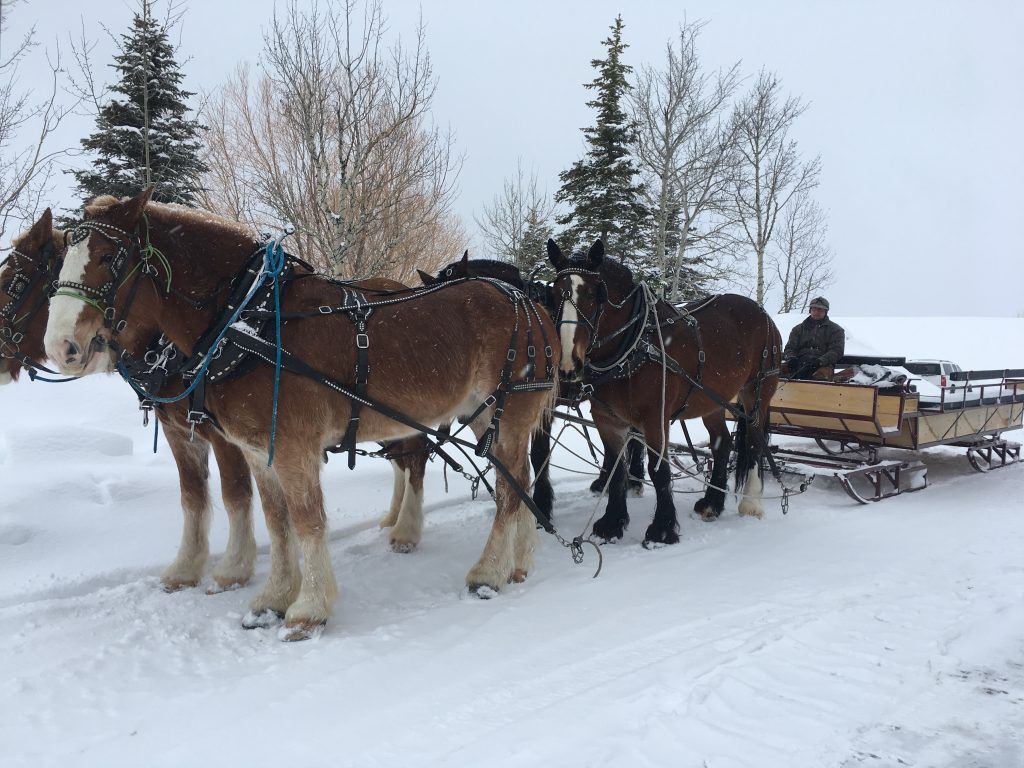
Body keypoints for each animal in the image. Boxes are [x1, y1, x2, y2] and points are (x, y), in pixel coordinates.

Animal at [44, 189, 561, 638]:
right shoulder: (259, 450)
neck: (249, 321)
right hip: (486, 415)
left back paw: (488, 573)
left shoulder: (293, 447)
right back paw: (519, 562)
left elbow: (307, 520)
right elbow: (277, 521)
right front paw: (272, 598)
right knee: (518, 477)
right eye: (61, 258)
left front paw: (307, 609)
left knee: (509, 489)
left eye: (109, 258)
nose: (60, 346)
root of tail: (530, 303)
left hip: (508, 412)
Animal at [548, 240, 778, 548]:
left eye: (595, 294)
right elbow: (617, 469)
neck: (633, 344)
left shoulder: (654, 418)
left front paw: (662, 530)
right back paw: (712, 504)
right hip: (712, 401)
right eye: (553, 294)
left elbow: (659, 471)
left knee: (753, 442)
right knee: (722, 443)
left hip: (756, 393)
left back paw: (751, 503)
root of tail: (761, 312)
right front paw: (611, 524)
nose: (568, 363)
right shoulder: (606, 419)